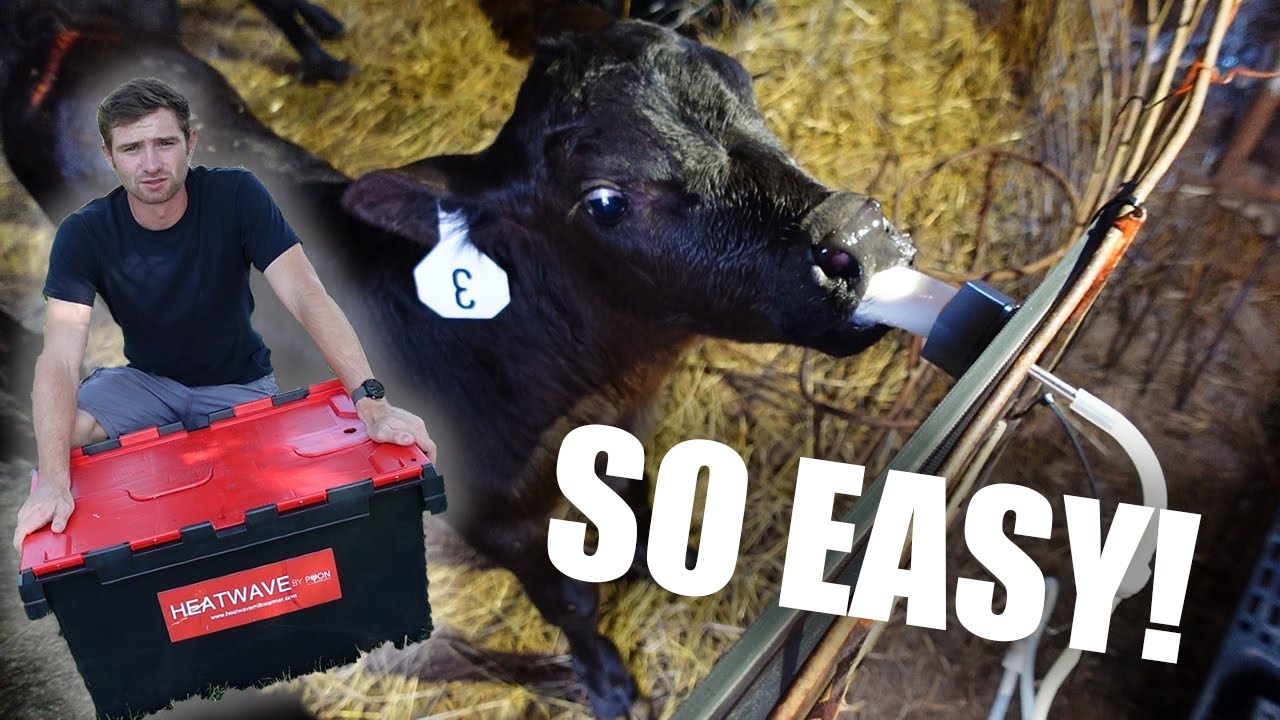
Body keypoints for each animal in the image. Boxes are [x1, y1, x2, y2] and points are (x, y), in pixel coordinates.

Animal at [0, 6, 915, 716]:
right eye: (605, 202)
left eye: (742, 81)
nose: (858, 237)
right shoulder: (492, 518)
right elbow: (569, 600)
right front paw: (609, 685)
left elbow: (633, 497)